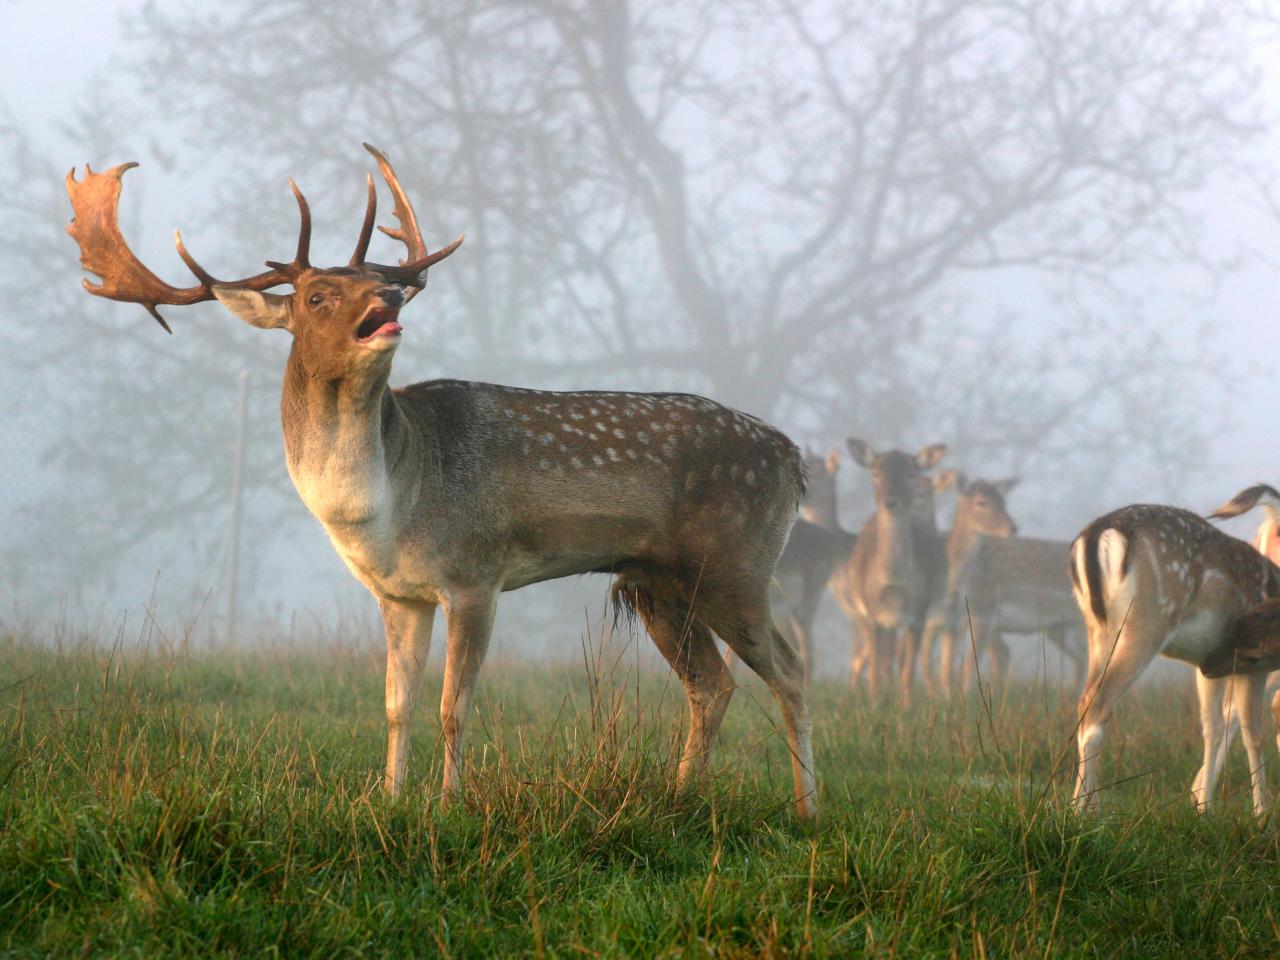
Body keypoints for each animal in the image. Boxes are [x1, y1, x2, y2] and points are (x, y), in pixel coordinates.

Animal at [64, 146, 819, 824]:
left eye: (373, 275)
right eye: (316, 295)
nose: (392, 292)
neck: (391, 505)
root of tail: (794, 460)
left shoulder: (475, 573)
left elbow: (453, 706)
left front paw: (449, 805)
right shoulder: (399, 595)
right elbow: (396, 705)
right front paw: (389, 798)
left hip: (735, 562)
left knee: (789, 668)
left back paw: (807, 809)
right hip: (656, 583)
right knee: (712, 685)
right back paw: (683, 796)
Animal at [829, 440, 952, 701]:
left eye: (911, 474)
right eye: (875, 473)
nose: (890, 501)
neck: (894, 582)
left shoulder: (918, 611)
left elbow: (907, 670)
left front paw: (906, 705)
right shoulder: (872, 612)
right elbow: (875, 668)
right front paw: (875, 703)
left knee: (897, 659)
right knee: (883, 660)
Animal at [1070, 496, 1280, 819]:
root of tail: (1096, 534)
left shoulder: (1209, 665)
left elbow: (1213, 727)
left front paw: (1204, 810)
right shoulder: (1250, 664)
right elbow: (1253, 735)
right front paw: (1263, 817)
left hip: (1098, 630)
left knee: (1084, 700)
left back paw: (1074, 806)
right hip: (1147, 624)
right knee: (1098, 704)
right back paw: (1085, 812)